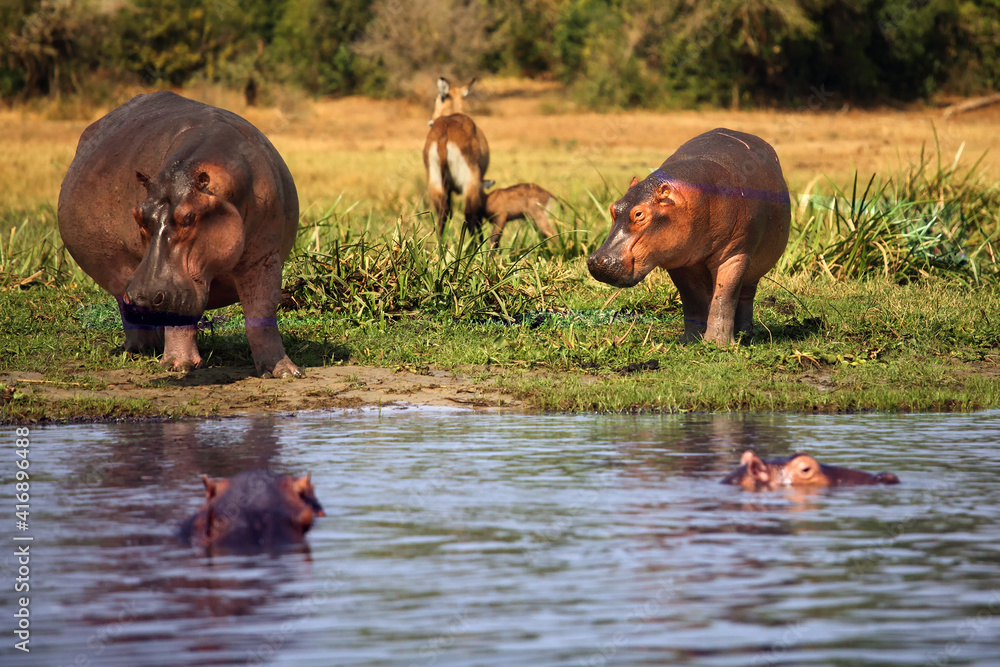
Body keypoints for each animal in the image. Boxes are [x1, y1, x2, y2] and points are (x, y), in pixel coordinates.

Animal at [57, 91, 300, 378]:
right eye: (138, 215)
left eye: (189, 217)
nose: (143, 296)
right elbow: (178, 317)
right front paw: (177, 366)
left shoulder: (264, 258)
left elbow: (262, 311)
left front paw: (284, 372)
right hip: (121, 276)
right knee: (129, 311)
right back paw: (142, 350)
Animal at [424, 77, 490, 239]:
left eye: (435, 99)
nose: (430, 120)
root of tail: (445, 131)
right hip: (470, 183)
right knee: (470, 216)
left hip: (436, 185)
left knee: (443, 215)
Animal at [584, 126, 788, 344]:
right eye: (613, 207)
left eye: (639, 214)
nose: (597, 260)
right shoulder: (679, 260)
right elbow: (693, 299)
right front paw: (690, 340)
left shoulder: (735, 255)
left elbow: (724, 297)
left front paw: (717, 344)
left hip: (754, 266)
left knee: (745, 295)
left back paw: (744, 333)